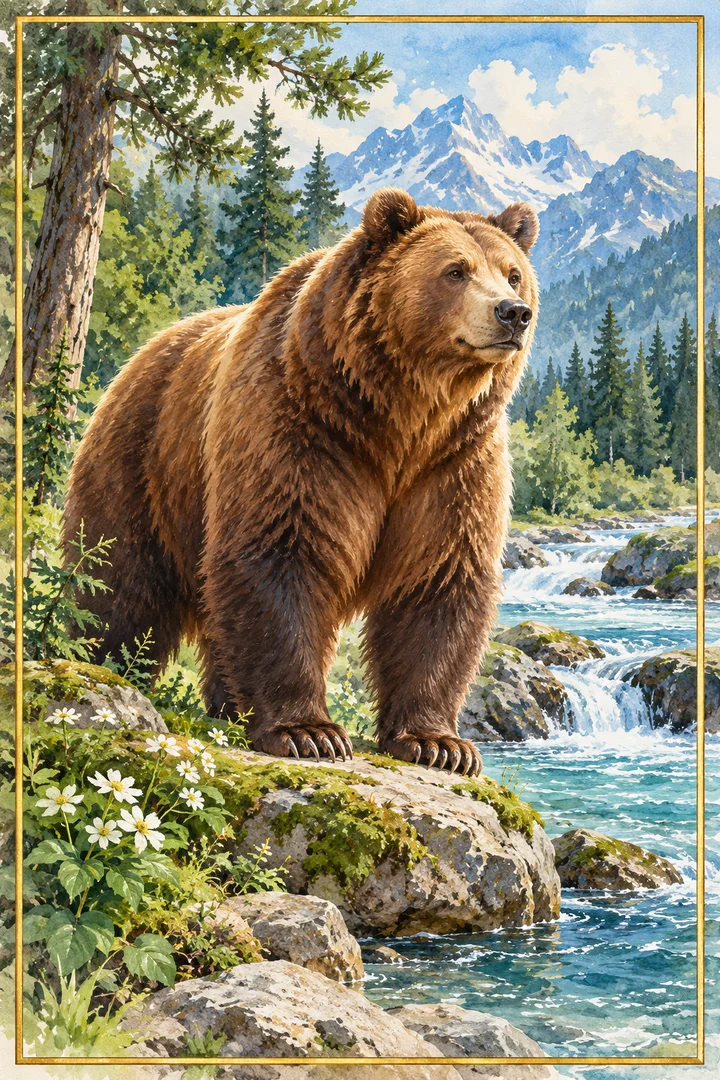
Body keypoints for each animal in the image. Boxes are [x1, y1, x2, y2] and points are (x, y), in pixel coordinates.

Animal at [64, 187, 539, 777]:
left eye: (513, 273)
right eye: (455, 270)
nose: (512, 313)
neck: (398, 417)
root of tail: (143, 353)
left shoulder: (454, 463)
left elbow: (438, 579)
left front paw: (439, 744)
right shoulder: (301, 428)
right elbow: (282, 552)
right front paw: (309, 732)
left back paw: (226, 705)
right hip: (143, 462)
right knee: (116, 581)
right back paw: (100, 665)